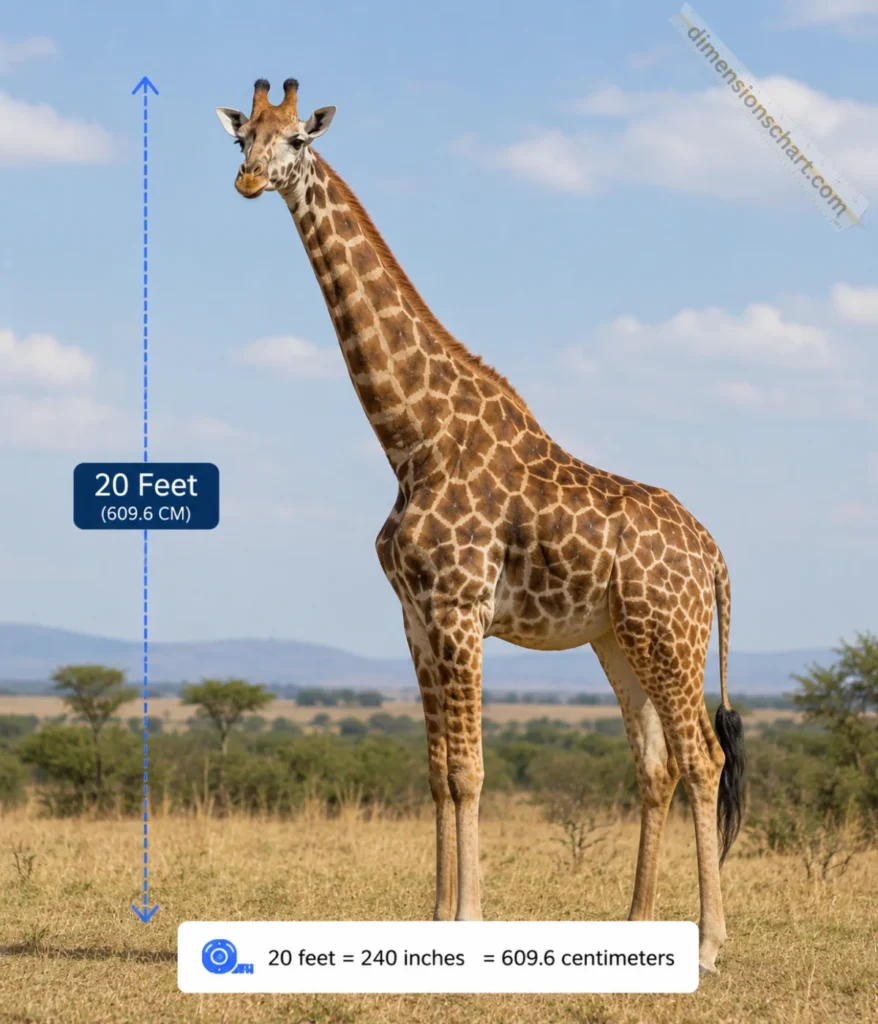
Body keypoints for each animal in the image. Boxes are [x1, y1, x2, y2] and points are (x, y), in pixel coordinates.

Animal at [216, 79, 746, 973]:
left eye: (297, 142)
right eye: (241, 136)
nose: (248, 181)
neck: (412, 437)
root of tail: (712, 554)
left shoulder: (461, 609)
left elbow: (469, 770)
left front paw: (466, 922)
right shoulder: (415, 616)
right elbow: (436, 770)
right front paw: (434, 920)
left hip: (671, 637)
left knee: (702, 759)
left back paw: (708, 945)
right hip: (619, 639)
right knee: (656, 764)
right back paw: (638, 928)